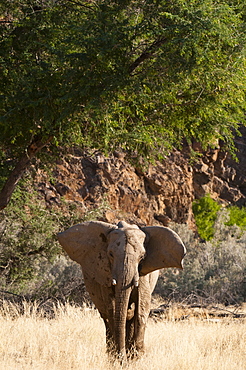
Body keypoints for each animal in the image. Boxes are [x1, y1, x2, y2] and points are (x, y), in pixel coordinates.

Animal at [56, 221, 185, 360]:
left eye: (142, 257)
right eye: (111, 254)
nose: (121, 357)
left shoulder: (143, 275)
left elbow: (141, 310)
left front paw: (136, 357)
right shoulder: (105, 274)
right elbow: (112, 310)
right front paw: (119, 358)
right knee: (107, 318)